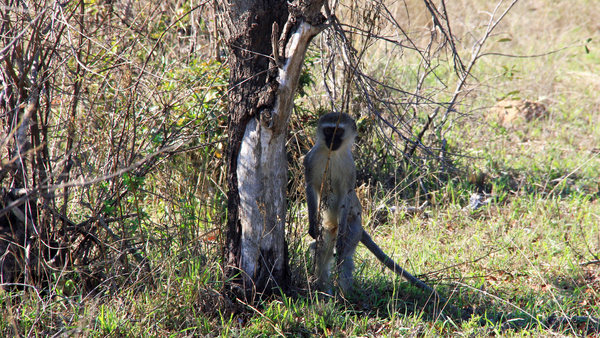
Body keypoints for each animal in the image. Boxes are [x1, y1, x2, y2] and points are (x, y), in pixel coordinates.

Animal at [304, 111, 446, 304]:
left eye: (338, 131)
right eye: (328, 130)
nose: (332, 140)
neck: (332, 154)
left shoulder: (350, 168)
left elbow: (346, 194)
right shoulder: (311, 159)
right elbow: (310, 187)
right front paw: (312, 225)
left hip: (354, 226)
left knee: (344, 256)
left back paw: (343, 296)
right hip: (327, 228)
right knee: (321, 250)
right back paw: (324, 291)